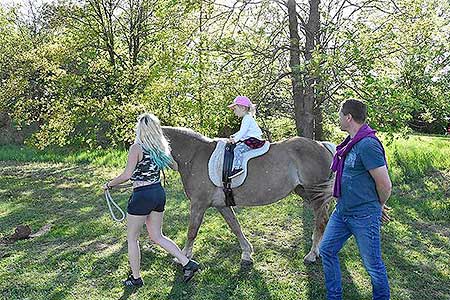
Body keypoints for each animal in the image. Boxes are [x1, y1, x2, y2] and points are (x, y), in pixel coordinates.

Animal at [163, 126, 336, 264]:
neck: (194, 155)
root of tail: (322, 145)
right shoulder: (221, 205)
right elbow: (235, 226)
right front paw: (247, 253)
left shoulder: (198, 204)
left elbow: (192, 231)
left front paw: (184, 257)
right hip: (305, 192)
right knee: (324, 218)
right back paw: (318, 250)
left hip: (315, 194)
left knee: (321, 221)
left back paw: (311, 255)